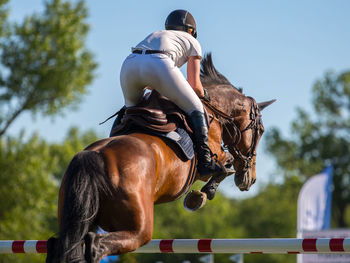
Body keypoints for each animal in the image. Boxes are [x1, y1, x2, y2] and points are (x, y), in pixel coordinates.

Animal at [46, 53, 274, 263]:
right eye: (261, 131)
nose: (249, 180)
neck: (213, 111)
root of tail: (94, 157)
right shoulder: (212, 158)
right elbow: (224, 166)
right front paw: (199, 196)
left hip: (78, 217)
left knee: (59, 245)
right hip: (139, 229)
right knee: (96, 246)